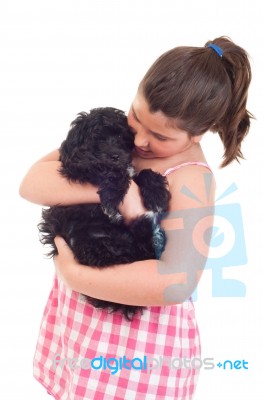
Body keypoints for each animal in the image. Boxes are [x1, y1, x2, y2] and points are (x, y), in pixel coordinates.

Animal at [38, 108, 169, 320]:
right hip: (94, 242)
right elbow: (104, 169)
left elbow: (140, 174)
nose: (115, 155)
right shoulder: (77, 165)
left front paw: (157, 191)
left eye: (122, 138)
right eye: (98, 139)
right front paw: (112, 196)